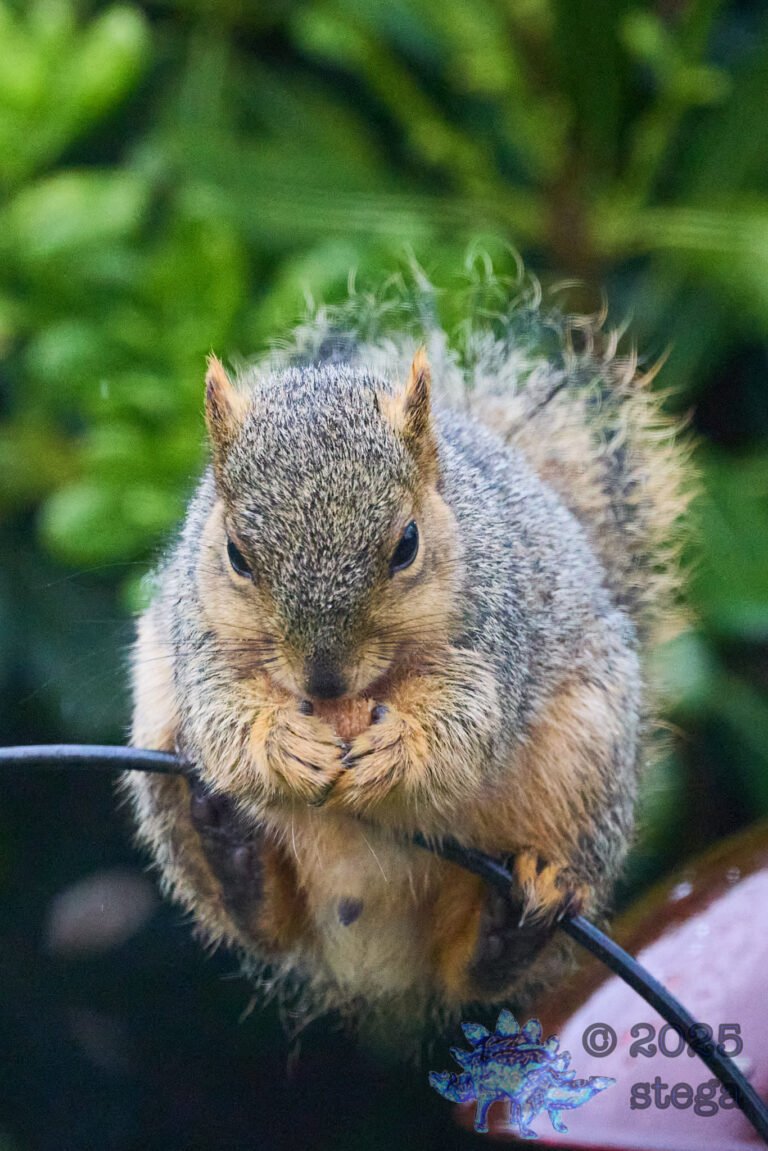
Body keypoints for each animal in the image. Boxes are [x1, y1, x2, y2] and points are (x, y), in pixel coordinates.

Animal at [126, 272, 689, 1031]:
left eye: (407, 545)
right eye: (237, 556)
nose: (325, 681)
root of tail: (372, 951)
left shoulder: (495, 640)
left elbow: (465, 725)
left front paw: (394, 749)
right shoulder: (198, 640)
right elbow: (224, 715)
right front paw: (287, 744)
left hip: (584, 761)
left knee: (476, 968)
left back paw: (512, 922)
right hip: (159, 748)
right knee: (262, 926)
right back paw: (230, 849)